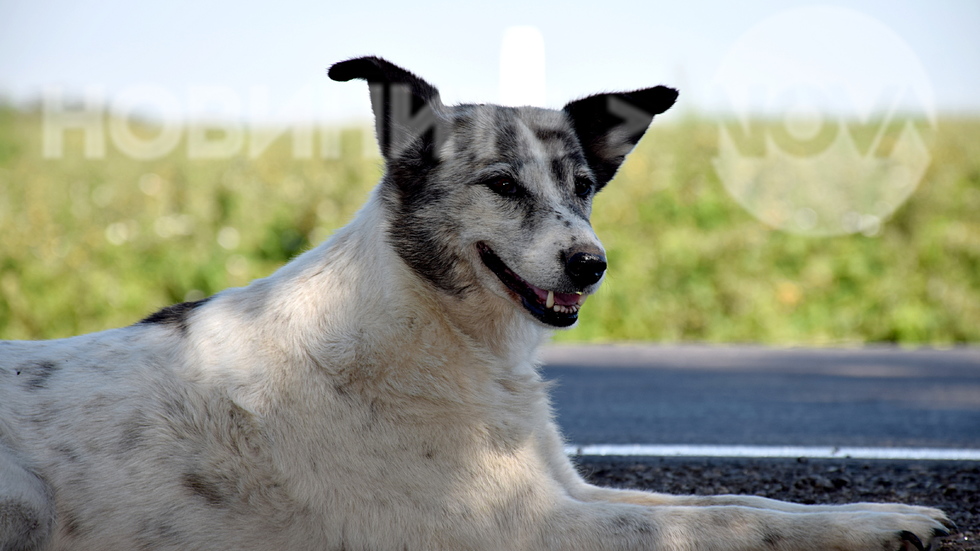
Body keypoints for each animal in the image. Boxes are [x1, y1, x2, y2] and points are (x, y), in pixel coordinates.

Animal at [0, 57, 952, 551]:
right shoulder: (527, 526)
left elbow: (752, 502)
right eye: (500, 184)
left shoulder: (566, 486)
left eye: (582, 186)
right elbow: (722, 519)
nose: (592, 264)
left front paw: (883, 517)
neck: (442, 328)